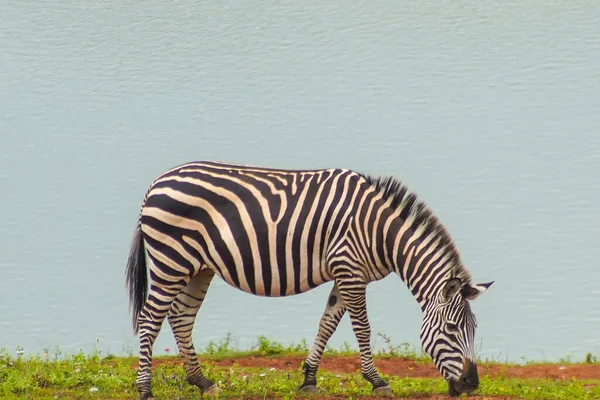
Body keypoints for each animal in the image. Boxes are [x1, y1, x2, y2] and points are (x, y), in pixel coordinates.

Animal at [125, 161, 492, 398]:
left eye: (474, 330)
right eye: (451, 330)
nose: (472, 385)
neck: (379, 233)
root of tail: (156, 183)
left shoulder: (346, 274)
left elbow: (326, 324)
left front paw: (308, 379)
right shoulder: (350, 270)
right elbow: (362, 328)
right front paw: (377, 381)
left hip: (198, 268)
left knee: (181, 318)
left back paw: (202, 382)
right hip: (170, 262)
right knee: (150, 319)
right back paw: (145, 388)